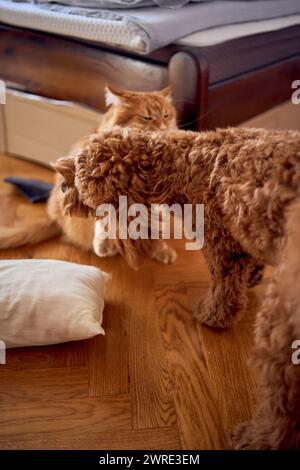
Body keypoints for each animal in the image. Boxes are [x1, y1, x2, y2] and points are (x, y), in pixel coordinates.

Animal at [0, 85, 178, 268]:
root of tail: (56, 220)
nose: (164, 128)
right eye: (147, 117)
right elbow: (104, 216)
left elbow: (154, 226)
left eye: (166, 115)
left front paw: (161, 249)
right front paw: (104, 243)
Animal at [54, 127, 300, 448]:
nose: (60, 183)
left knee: (283, 404)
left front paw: (212, 316)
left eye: (82, 182)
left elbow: (225, 289)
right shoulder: (241, 234)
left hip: (280, 331)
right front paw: (253, 277)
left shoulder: (221, 243)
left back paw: (257, 437)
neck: (182, 163)